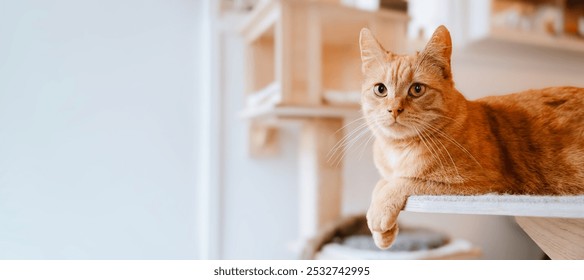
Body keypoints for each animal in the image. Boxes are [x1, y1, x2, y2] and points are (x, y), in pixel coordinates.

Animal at [360, 25, 584, 249]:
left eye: (417, 89)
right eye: (381, 89)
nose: (394, 109)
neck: (398, 150)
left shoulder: (478, 185)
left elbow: (406, 181)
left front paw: (379, 213)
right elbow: (381, 183)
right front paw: (382, 233)